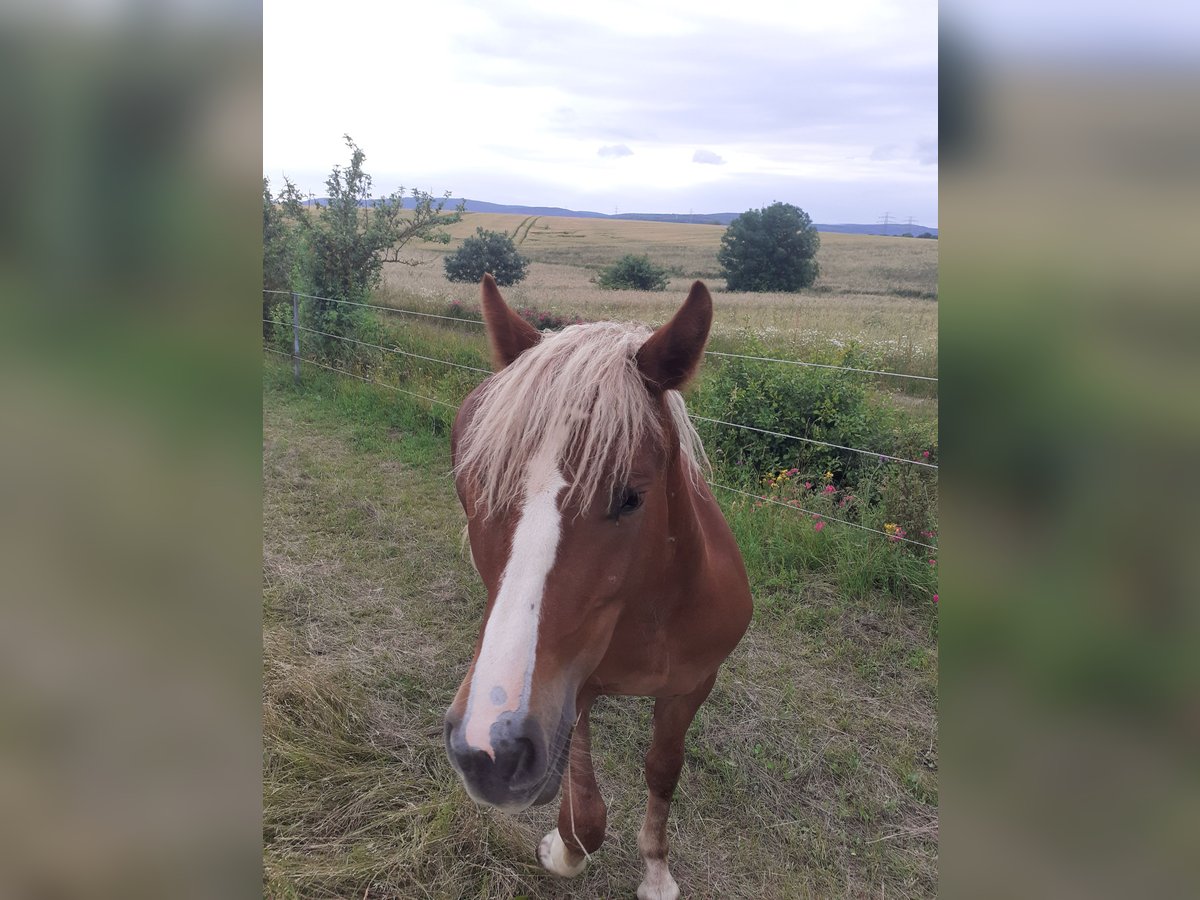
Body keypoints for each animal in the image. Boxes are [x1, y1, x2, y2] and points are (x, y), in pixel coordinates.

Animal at [446, 278, 753, 897]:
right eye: (479, 482)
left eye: (631, 496)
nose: (490, 751)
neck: (653, 615)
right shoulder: (572, 691)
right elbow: (584, 817)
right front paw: (561, 851)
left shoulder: (693, 686)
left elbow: (663, 769)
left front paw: (656, 871)